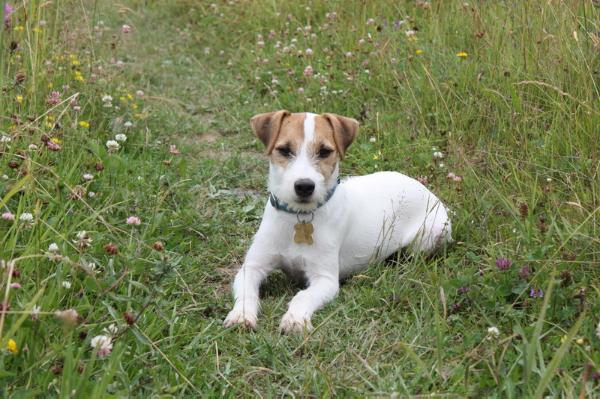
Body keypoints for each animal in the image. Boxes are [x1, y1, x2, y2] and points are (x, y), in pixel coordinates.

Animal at [224, 111, 450, 334]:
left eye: (324, 152)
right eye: (284, 150)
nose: (304, 186)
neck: (299, 217)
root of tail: (423, 187)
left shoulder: (325, 279)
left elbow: (303, 296)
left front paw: (295, 319)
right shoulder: (252, 267)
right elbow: (247, 293)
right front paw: (241, 316)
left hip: (430, 235)